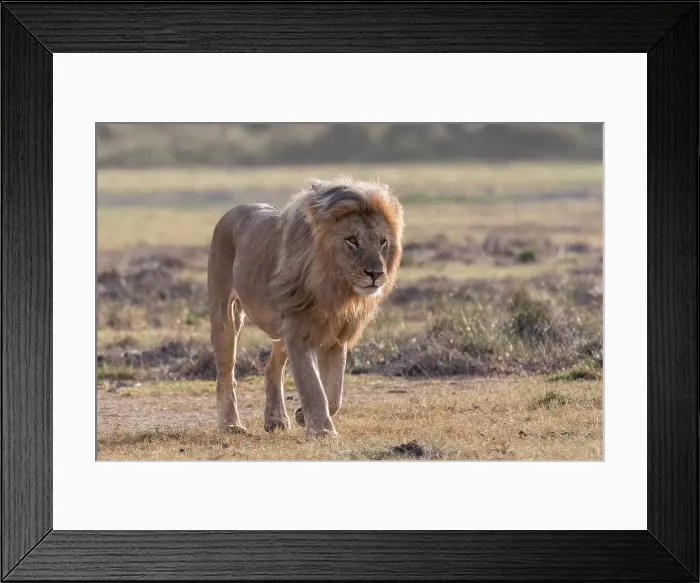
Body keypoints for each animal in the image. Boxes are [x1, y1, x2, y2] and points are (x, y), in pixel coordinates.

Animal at [207, 176, 404, 437]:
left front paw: (303, 416)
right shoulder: (297, 331)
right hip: (225, 315)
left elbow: (334, 393)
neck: (335, 289)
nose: (376, 274)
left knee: (271, 367)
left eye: (382, 242)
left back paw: (276, 419)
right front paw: (323, 431)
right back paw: (230, 424)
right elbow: (312, 385)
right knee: (225, 374)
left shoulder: (335, 337)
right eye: (352, 240)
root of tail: (233, 210)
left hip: (280, 328)